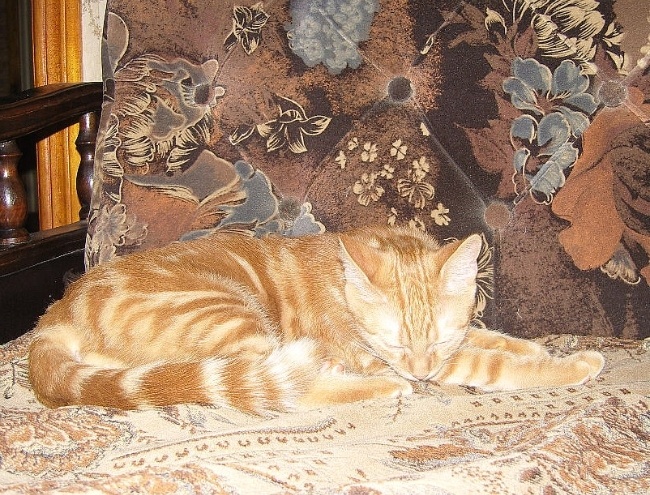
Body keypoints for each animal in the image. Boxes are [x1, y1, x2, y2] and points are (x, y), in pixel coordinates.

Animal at [28, 226, 605, 413]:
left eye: (436, 336)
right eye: (397, 343)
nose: (418, 372)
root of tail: (60, 310)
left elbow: (486, 337)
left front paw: (530, 345)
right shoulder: (376, 354)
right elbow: (492, 364)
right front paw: (570, 365)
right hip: (232, 320)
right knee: (285, 388)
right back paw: (379, 389)